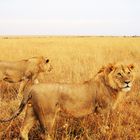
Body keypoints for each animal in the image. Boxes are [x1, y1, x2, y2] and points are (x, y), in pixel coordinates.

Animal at [0, 63, 135, 140]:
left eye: (129, 73)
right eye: (119, 74)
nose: (128, 82)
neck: (112, 86)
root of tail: (32, 88)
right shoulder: (103, 110)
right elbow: (103, 126)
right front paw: (104, 135)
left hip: (31, 112)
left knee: (23, 131)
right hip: (47, 116)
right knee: (46, 134)